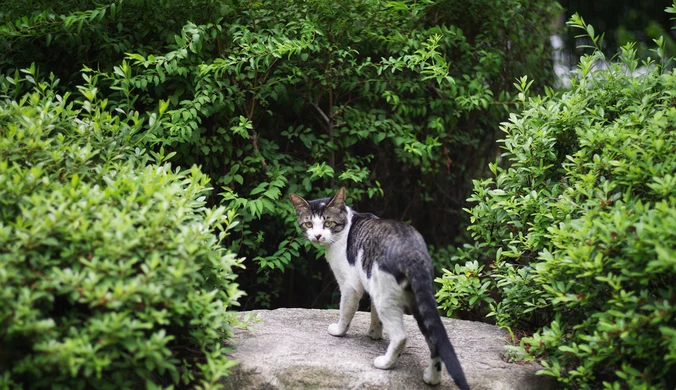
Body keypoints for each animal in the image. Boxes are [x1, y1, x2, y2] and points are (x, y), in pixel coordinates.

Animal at [290, 187, 470, 388]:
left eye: (328, 222)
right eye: (308, 224)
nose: (317, 236)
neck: (344, 229)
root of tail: (413, 252)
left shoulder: (350, 286)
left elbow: (345, 311)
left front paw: (339, 330)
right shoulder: (371, 284)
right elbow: (374, 314)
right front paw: (374, 333)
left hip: (387, 298)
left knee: (400, 336)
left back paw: (385, 363)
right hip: (418, 300)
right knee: (434, 339)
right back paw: (432, 378)